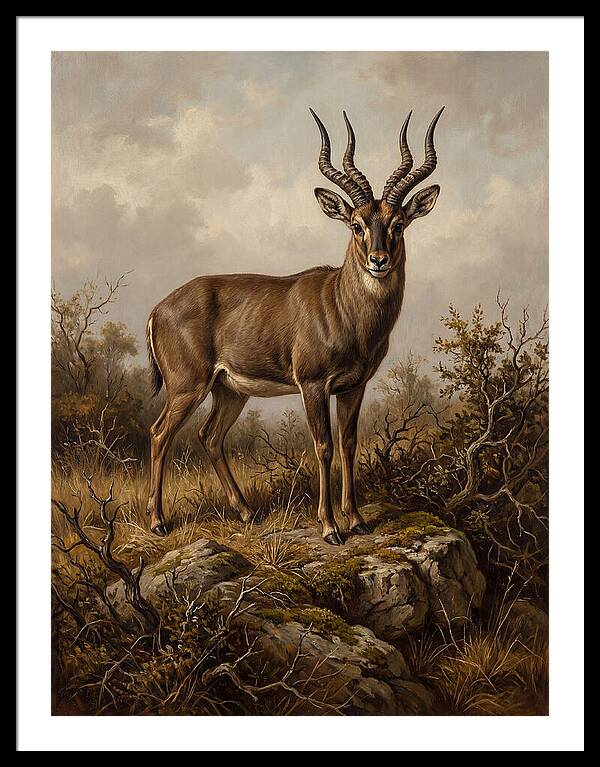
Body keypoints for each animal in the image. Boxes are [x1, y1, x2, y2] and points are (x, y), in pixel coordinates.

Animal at [146, 107, 444, 544]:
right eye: (356, 224)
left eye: (399, 223)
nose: (378, 260)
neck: (342, 307)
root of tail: (157, 309)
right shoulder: (313, 384)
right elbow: (323, 445)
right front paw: (330, 527)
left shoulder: (354, 386)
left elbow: (349, 443)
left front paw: (357, 520)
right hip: (188, 386)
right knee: (159, 433)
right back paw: (158, 522)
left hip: (229, 390)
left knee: (209, 436)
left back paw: (247, 513)